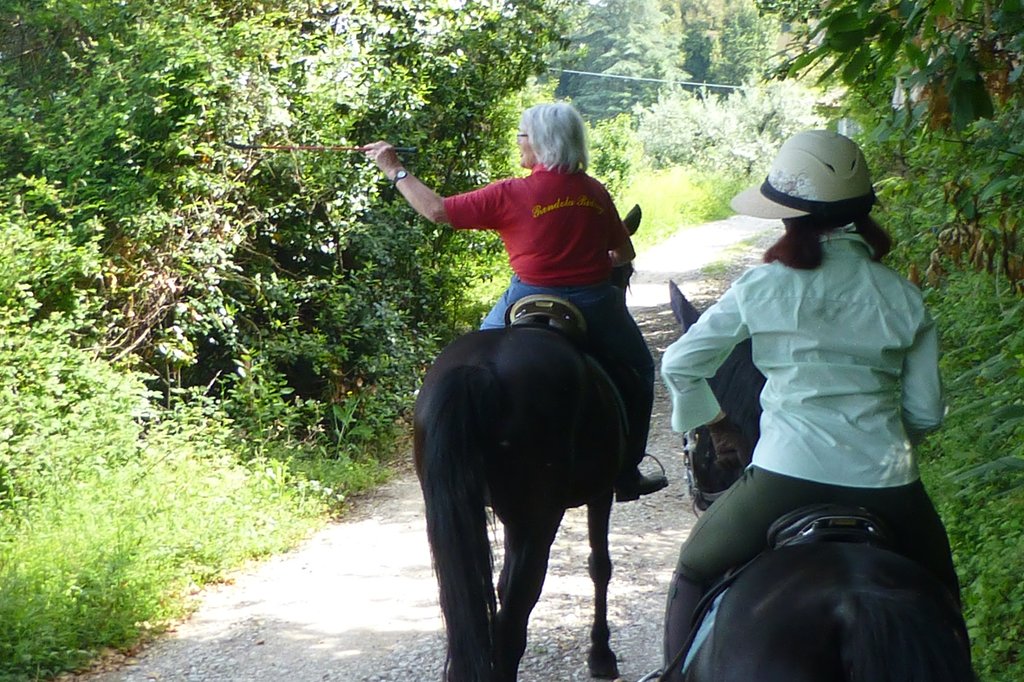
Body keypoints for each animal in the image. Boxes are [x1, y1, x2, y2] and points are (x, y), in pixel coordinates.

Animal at [413, 204, 643, 675]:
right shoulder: (600, 494)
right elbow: (600, 564)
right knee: (514, 616)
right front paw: (601, 655)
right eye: (626, 271)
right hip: (536, 519)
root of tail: (478, 370)